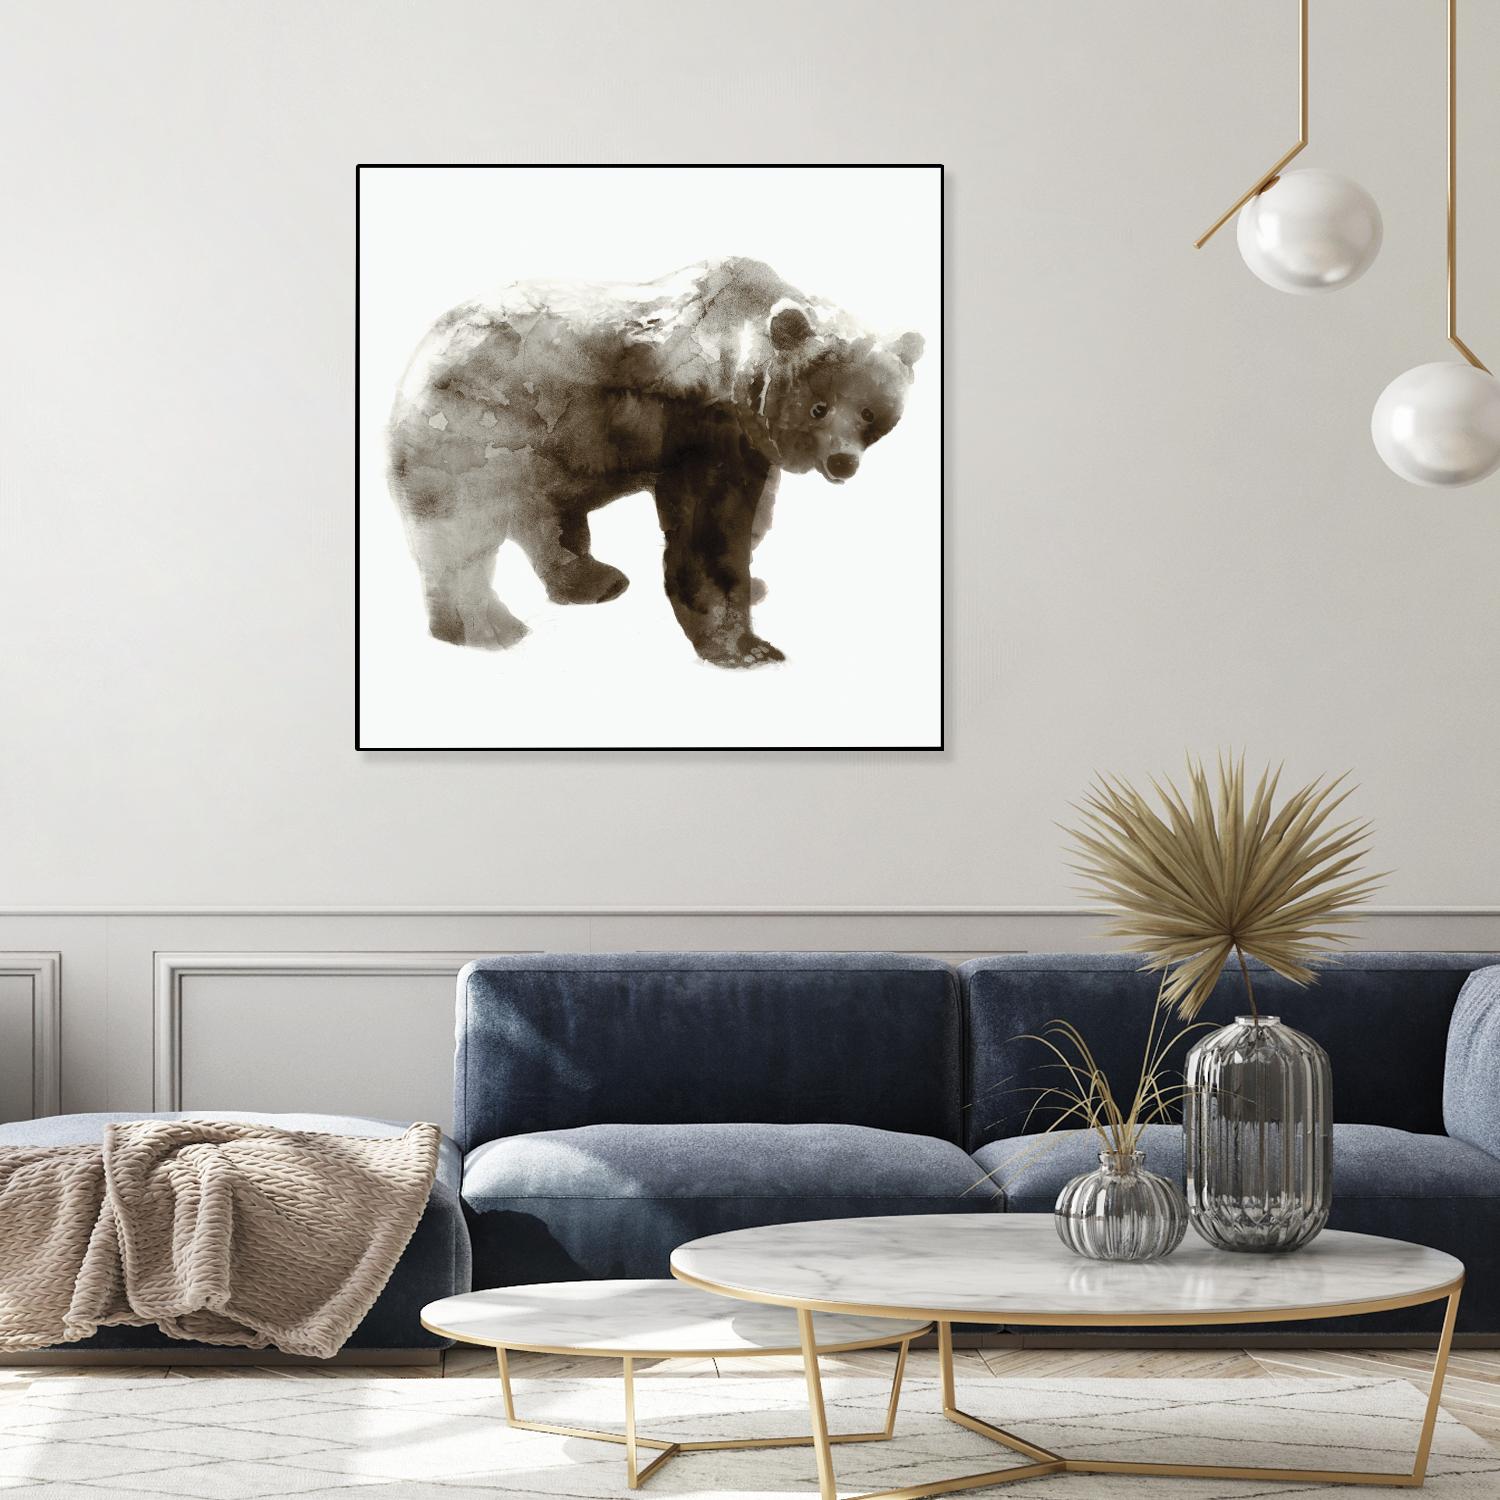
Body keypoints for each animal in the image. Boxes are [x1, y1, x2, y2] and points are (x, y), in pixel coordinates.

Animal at [385, 256, 923, 669]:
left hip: (548, 455)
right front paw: (749, 647)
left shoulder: (750, 441)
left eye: (871, 412)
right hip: (480, 430)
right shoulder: (700, 423)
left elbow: (755, 515)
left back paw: (594, 580)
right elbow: (709, 530)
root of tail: (420, 352)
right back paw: (488, 629)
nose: (843, 461)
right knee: (461, 532)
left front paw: (756, 585)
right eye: (819, 407)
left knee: (547, 520)